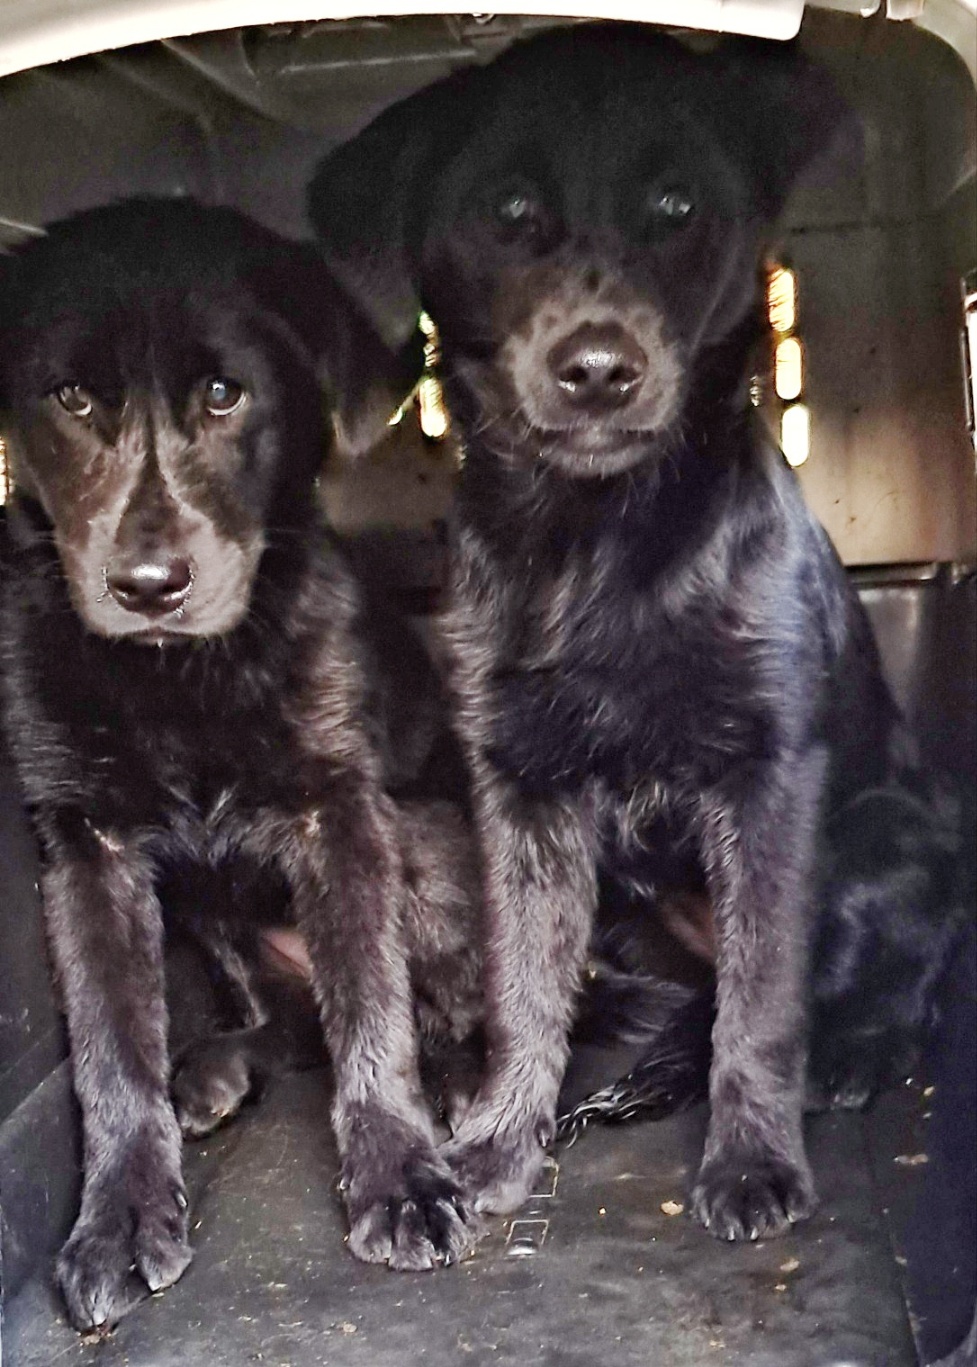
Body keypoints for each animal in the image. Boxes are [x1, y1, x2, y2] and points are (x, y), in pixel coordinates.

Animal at [0, 197, 487, 1330]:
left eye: (226, 393)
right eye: (70, 397)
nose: (145, 584)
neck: (181, 677)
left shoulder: (342, 812)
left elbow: (373, 1006)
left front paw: (398, 1174)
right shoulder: (84, 847)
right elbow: (110, 1046)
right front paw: (120, 1215)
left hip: (429, 836)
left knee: (445, 1006)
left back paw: (458, 1084)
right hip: (216, 916)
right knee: (285, 1022)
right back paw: (216, 1067)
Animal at [308, 23, 966, 1240]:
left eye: (675, 206)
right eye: (506, 211)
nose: (598, 371)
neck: (598, 541)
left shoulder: (769, 782)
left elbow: (763, 1000)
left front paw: (751, 1160)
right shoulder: (520, 790)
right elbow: (524, 988)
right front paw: (493, 1150)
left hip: (884, 833)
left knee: (906, 975)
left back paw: (855, 1051)